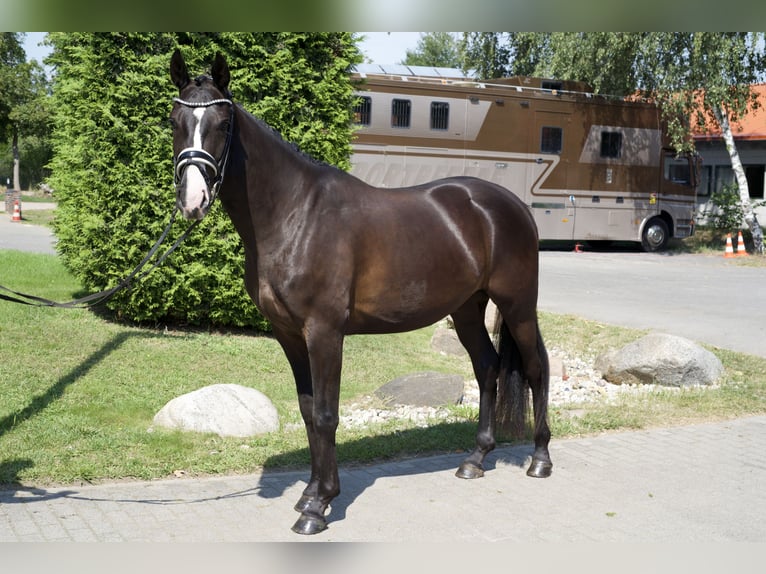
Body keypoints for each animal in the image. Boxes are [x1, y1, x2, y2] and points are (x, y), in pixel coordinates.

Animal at [170, 51, 552, 536]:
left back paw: (540, 458)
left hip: (517, 304)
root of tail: (512, 204)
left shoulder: (325, 333)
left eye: (222, 123)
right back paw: (475, 458)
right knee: (487, 367)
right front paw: (310, 493)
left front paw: (318, 507)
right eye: (175, 120)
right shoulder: (289, 335)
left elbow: (327, 414)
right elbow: (308, 410)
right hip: (467, 309)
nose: (193, 200)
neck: (296, 214)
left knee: (536, 367)